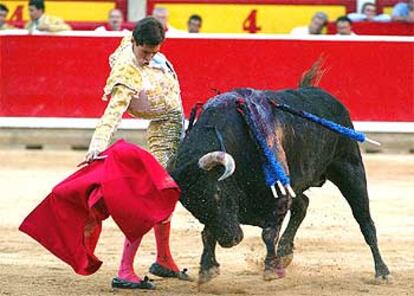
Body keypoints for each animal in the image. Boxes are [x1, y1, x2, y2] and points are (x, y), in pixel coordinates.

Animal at [171, 84, 392, 284]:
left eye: (217, 194)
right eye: (191, 207)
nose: (230, 240)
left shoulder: (277, 196)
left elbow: (268, 233)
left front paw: (271, 268)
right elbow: (207, 233)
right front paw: (207, 268)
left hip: (350, 170)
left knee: (365, 221)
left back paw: (382, 272)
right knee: (303, 204)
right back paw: (285, 252)